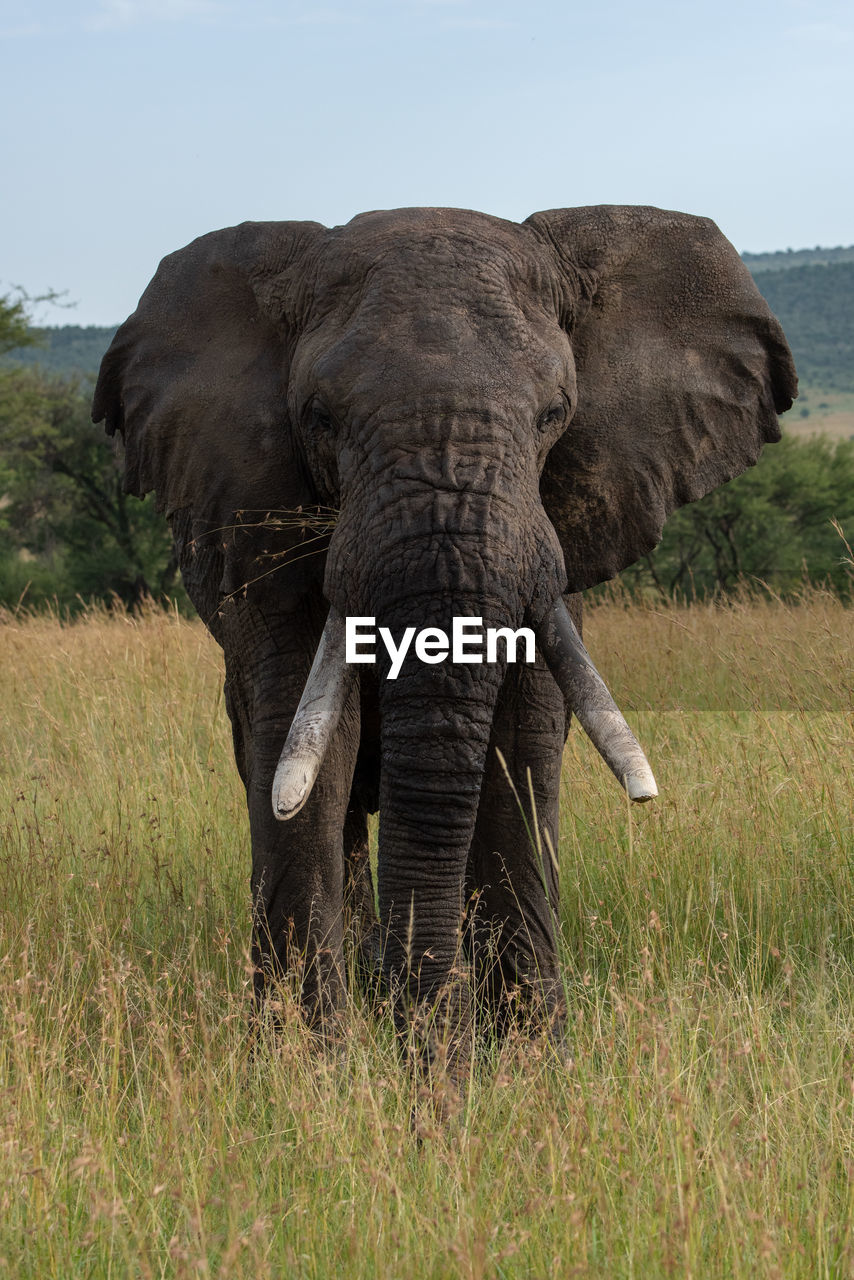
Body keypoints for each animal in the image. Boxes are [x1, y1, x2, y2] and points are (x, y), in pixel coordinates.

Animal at [92, 207, 793, 1080]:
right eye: (318, 416)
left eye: (554, 414)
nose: (426, 1078)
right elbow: (305, 751)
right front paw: (305, 1075)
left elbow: (521, 744)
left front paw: (534, 1070)